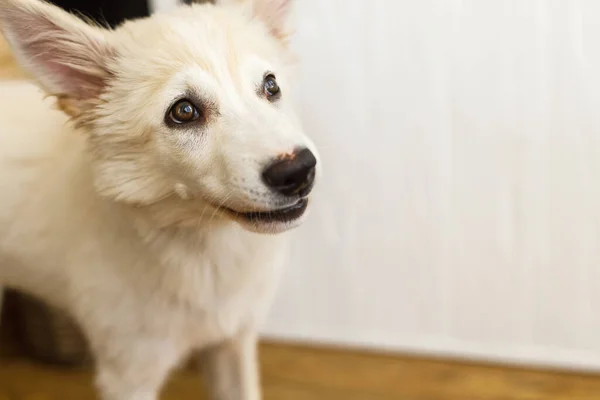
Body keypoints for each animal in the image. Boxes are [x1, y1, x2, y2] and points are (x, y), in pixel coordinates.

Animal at [0, 0, 322, 396]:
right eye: (183, 112)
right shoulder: (128, 375)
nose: (299, 172)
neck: (205, 254)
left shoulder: (232, 343)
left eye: (271, 86)